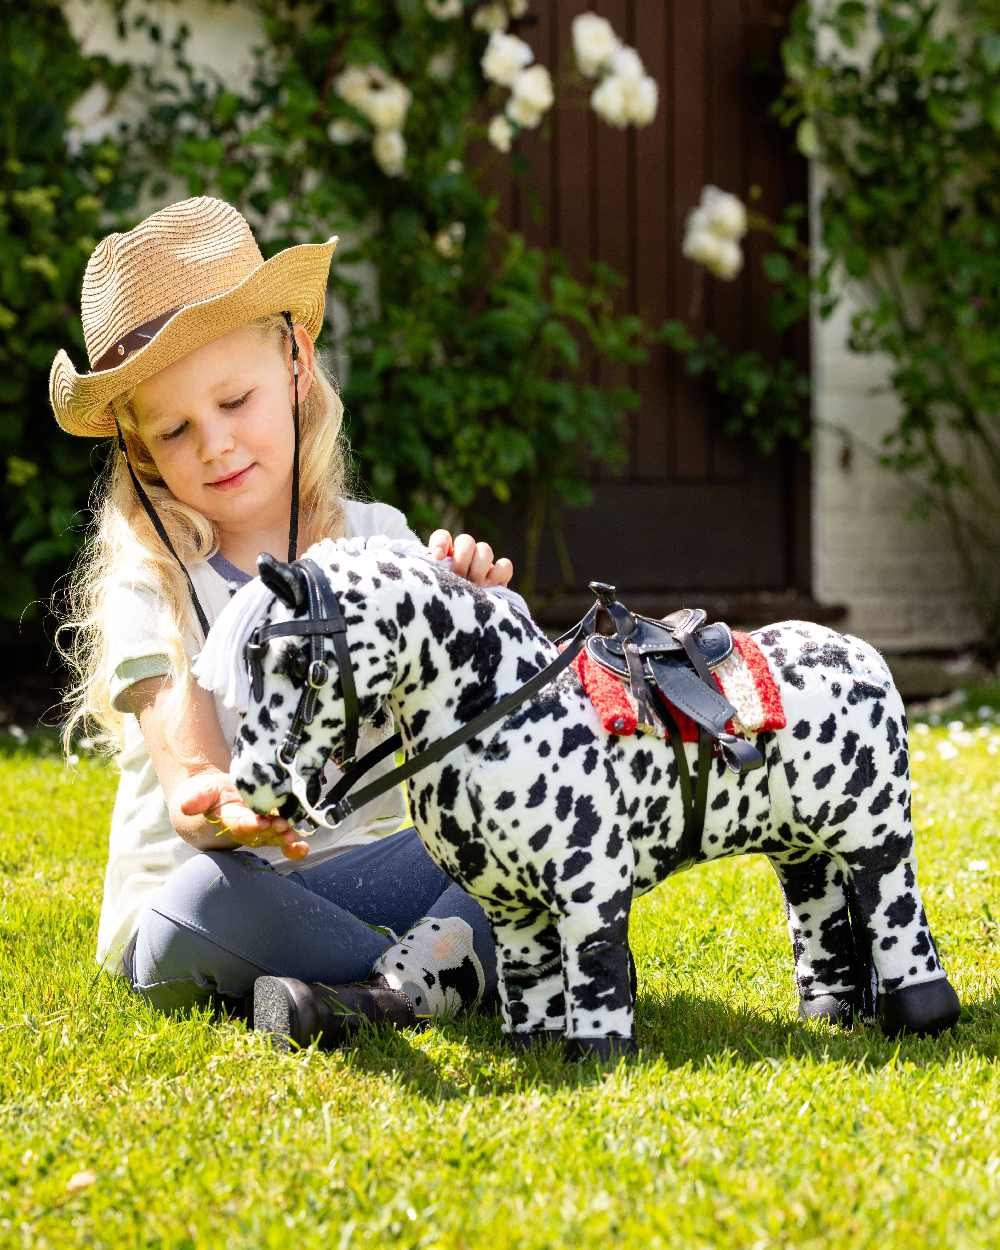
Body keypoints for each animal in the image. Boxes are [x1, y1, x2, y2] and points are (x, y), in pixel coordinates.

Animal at [193, 537, 960, 1055]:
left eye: (298, 662)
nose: (253, 783)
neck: (499, 708)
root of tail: (863, 655)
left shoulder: (590, 892)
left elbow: (591, 966)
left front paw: (597, 1054)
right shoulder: (510, 907)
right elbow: (529, 976)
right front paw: (535, 1046)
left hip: (876, 841)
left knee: (892, 911)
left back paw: (922, 1015)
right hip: (799, 850)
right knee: (820, 911)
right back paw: (831, 1014)